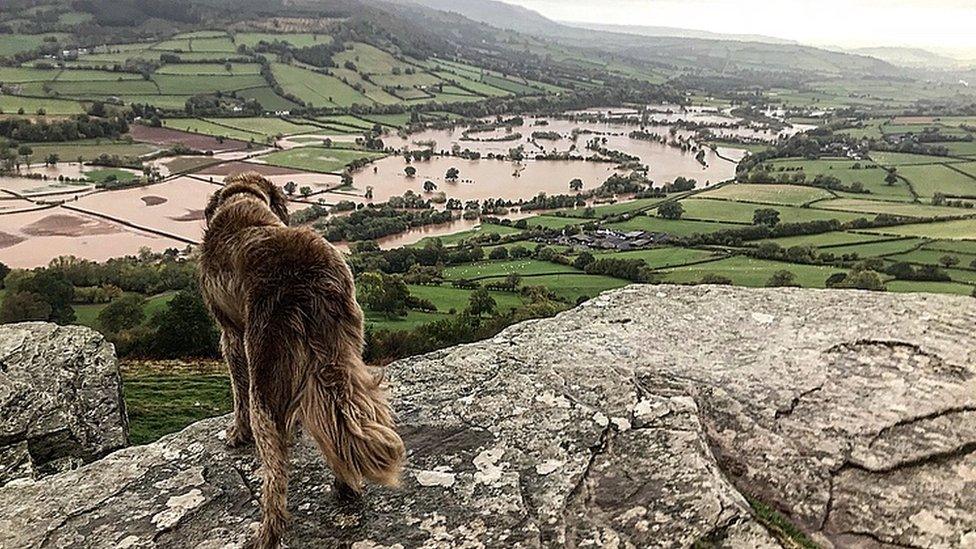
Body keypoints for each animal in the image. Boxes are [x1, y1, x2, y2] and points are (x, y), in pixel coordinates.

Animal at [198, 173, 404, 544]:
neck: (242, 200)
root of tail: (308, 282)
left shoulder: (231, 335)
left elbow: (237, 392)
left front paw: (237, 433)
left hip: (265, 372)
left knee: (274, 468)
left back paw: (268, 531)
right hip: (343, 349)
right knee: (339, 419)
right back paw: (346, 485)